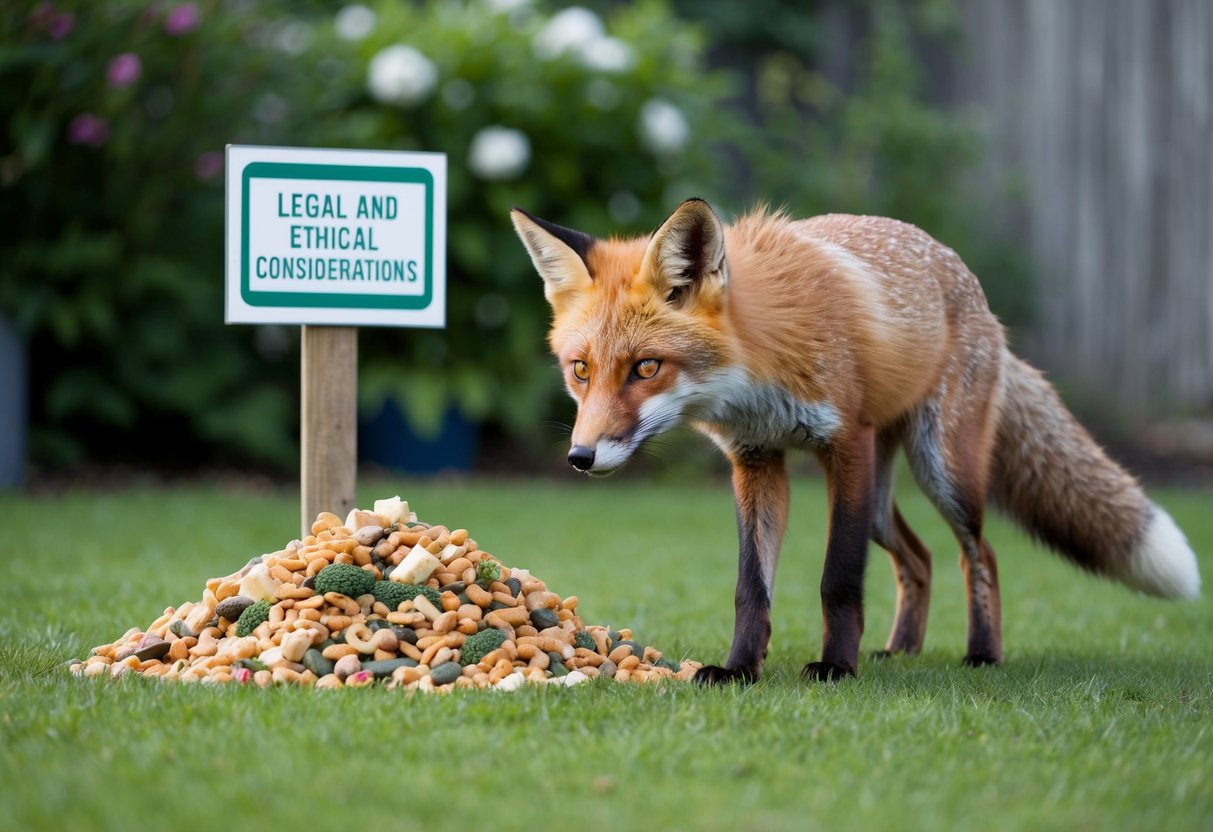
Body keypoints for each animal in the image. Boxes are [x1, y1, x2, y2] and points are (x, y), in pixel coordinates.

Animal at [510, 198, 1201, 683]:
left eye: (646, 368)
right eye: (581, 370)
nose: (580, 457)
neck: (758, 374)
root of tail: (978, 297)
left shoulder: (847, 446)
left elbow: (838, 578)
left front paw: (837, 667)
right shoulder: (756, 462)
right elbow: (751, 587)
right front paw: (739, 669)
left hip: (940, 470)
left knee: (978, 554)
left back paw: (982, 653)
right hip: (880, 501)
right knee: (919, 559)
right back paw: (901, 649)